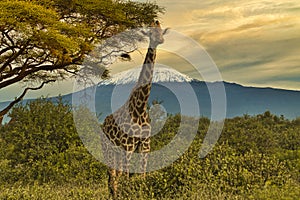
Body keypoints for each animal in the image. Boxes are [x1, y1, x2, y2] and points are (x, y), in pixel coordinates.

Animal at [101, 20, 169, 198]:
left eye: (161, 31)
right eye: (150, 32)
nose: (160, 40)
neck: (140, 107)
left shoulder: (145, 145)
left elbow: (142, 175)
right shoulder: (128, 146)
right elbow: (126, 177)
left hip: (117, 152)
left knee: (114, 177)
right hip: (108, 149)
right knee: (112, 177)